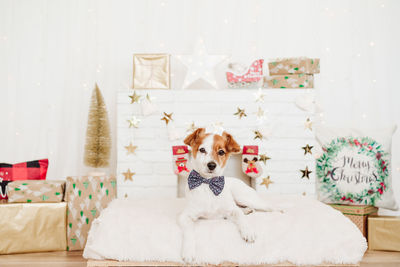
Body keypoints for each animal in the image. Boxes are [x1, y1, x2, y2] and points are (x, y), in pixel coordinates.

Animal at [178, 129, 282, 262]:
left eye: (221, 152)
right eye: (202, 150)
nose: (211, 165)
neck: (208, 184)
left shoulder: (232, 210)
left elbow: (240, 217)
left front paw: (248, 231)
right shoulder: (185, 216)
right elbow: (189, 232)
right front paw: (188, 251)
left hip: (244, 197)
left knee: (267, 206)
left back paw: (279, 210)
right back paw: (247, 210)